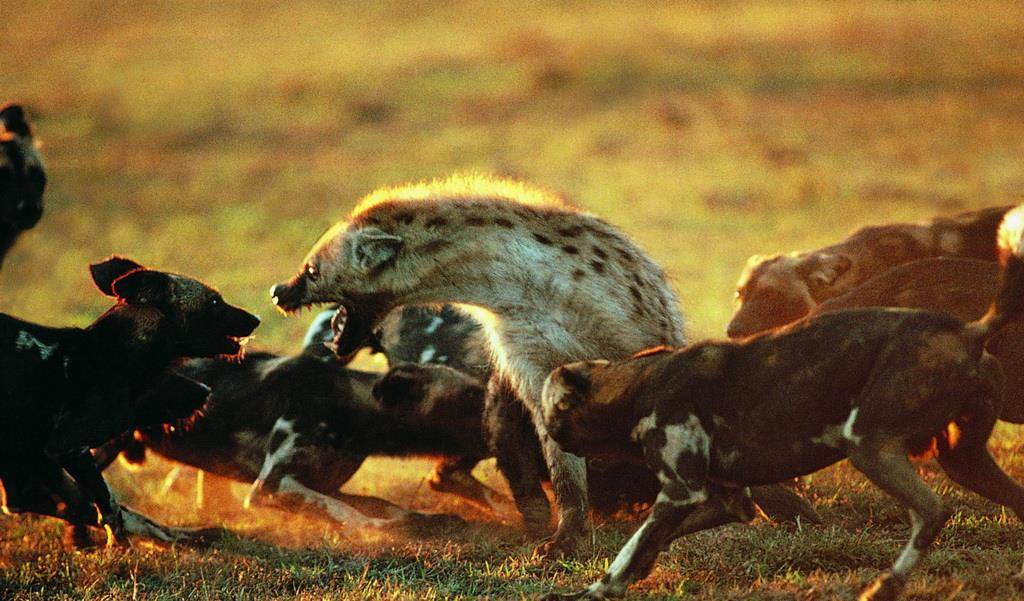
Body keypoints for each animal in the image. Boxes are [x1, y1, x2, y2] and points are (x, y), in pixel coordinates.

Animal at [0, 255, 260, 548]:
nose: (257, 318)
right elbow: (109, 506)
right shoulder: (68, 448)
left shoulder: (31, 469)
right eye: (214, 301)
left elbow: (116, 511)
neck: (110, 356)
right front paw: (117, 545)